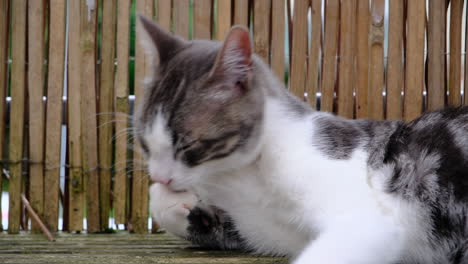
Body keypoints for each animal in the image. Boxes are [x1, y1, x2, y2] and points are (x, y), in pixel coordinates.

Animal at [135, 14, 468, 264]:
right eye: (144, 143)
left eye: (188, 144)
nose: (160, 176)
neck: (243, 177)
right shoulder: (275, 232)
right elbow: (159, 200)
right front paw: (183, 207)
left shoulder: (369, 220)